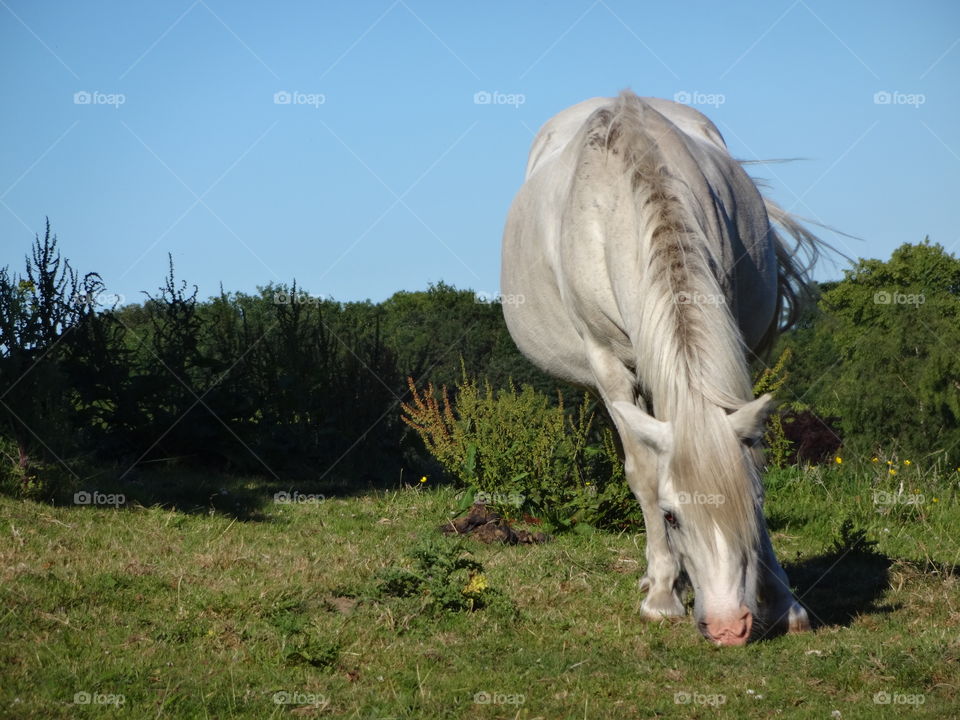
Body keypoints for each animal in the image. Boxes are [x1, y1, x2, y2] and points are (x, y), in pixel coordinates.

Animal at [502, 91, 816, 648]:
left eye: (755, 503)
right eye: (672, 516)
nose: (729, 627)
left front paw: (784, 600)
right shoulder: (607, 363)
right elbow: (644, 473)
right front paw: (663, 595)